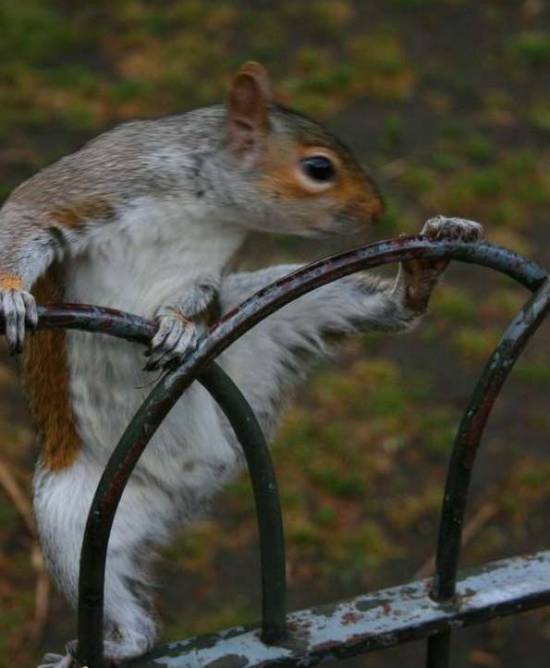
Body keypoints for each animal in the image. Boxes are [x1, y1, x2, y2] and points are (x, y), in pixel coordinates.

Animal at [0, 60, 484, 664]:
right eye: (319, 168)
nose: (378, 210)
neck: (204, 205)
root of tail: (196, 481)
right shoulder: (98, 184)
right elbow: (26, 216)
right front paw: (11, 295)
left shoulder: (208, 271)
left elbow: (197, 298)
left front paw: (180, 325)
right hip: (70, 514)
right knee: (122, 607)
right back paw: (111, 647)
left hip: (282, 316)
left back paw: (418, 277)